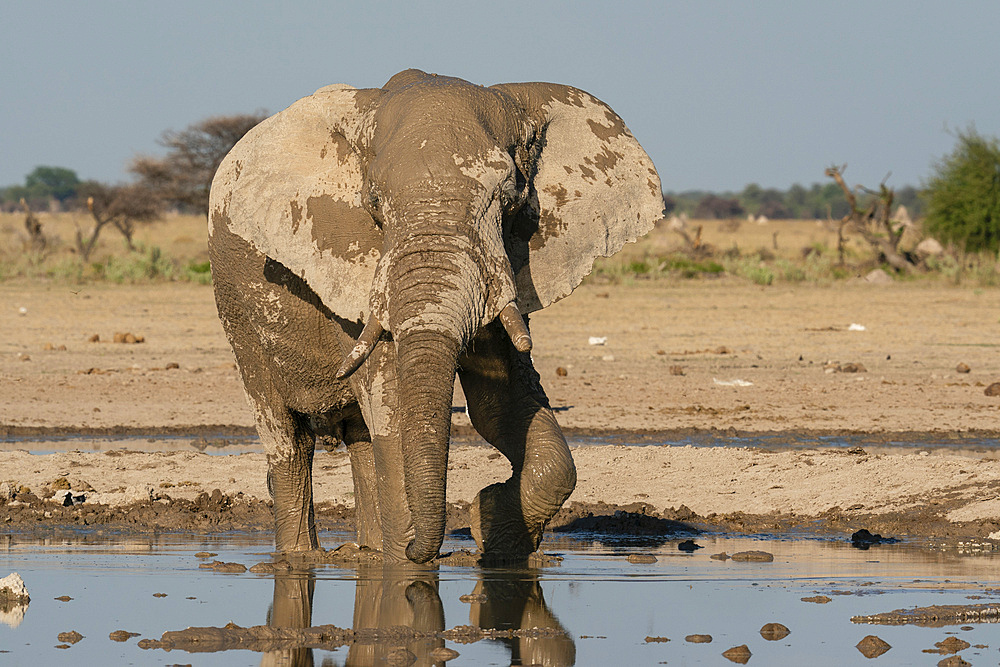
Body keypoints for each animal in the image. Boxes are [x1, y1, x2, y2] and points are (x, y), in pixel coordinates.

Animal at [209, 69, 664, 564]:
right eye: (373, 203)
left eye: (509, 197)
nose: (421, 550)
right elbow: (395, 416)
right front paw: (407, 565)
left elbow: (502, 408)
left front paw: (489, 528)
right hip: (236, 310)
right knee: (286, 440)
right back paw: (301, 558)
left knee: (362, 439)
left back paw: (365, 551)